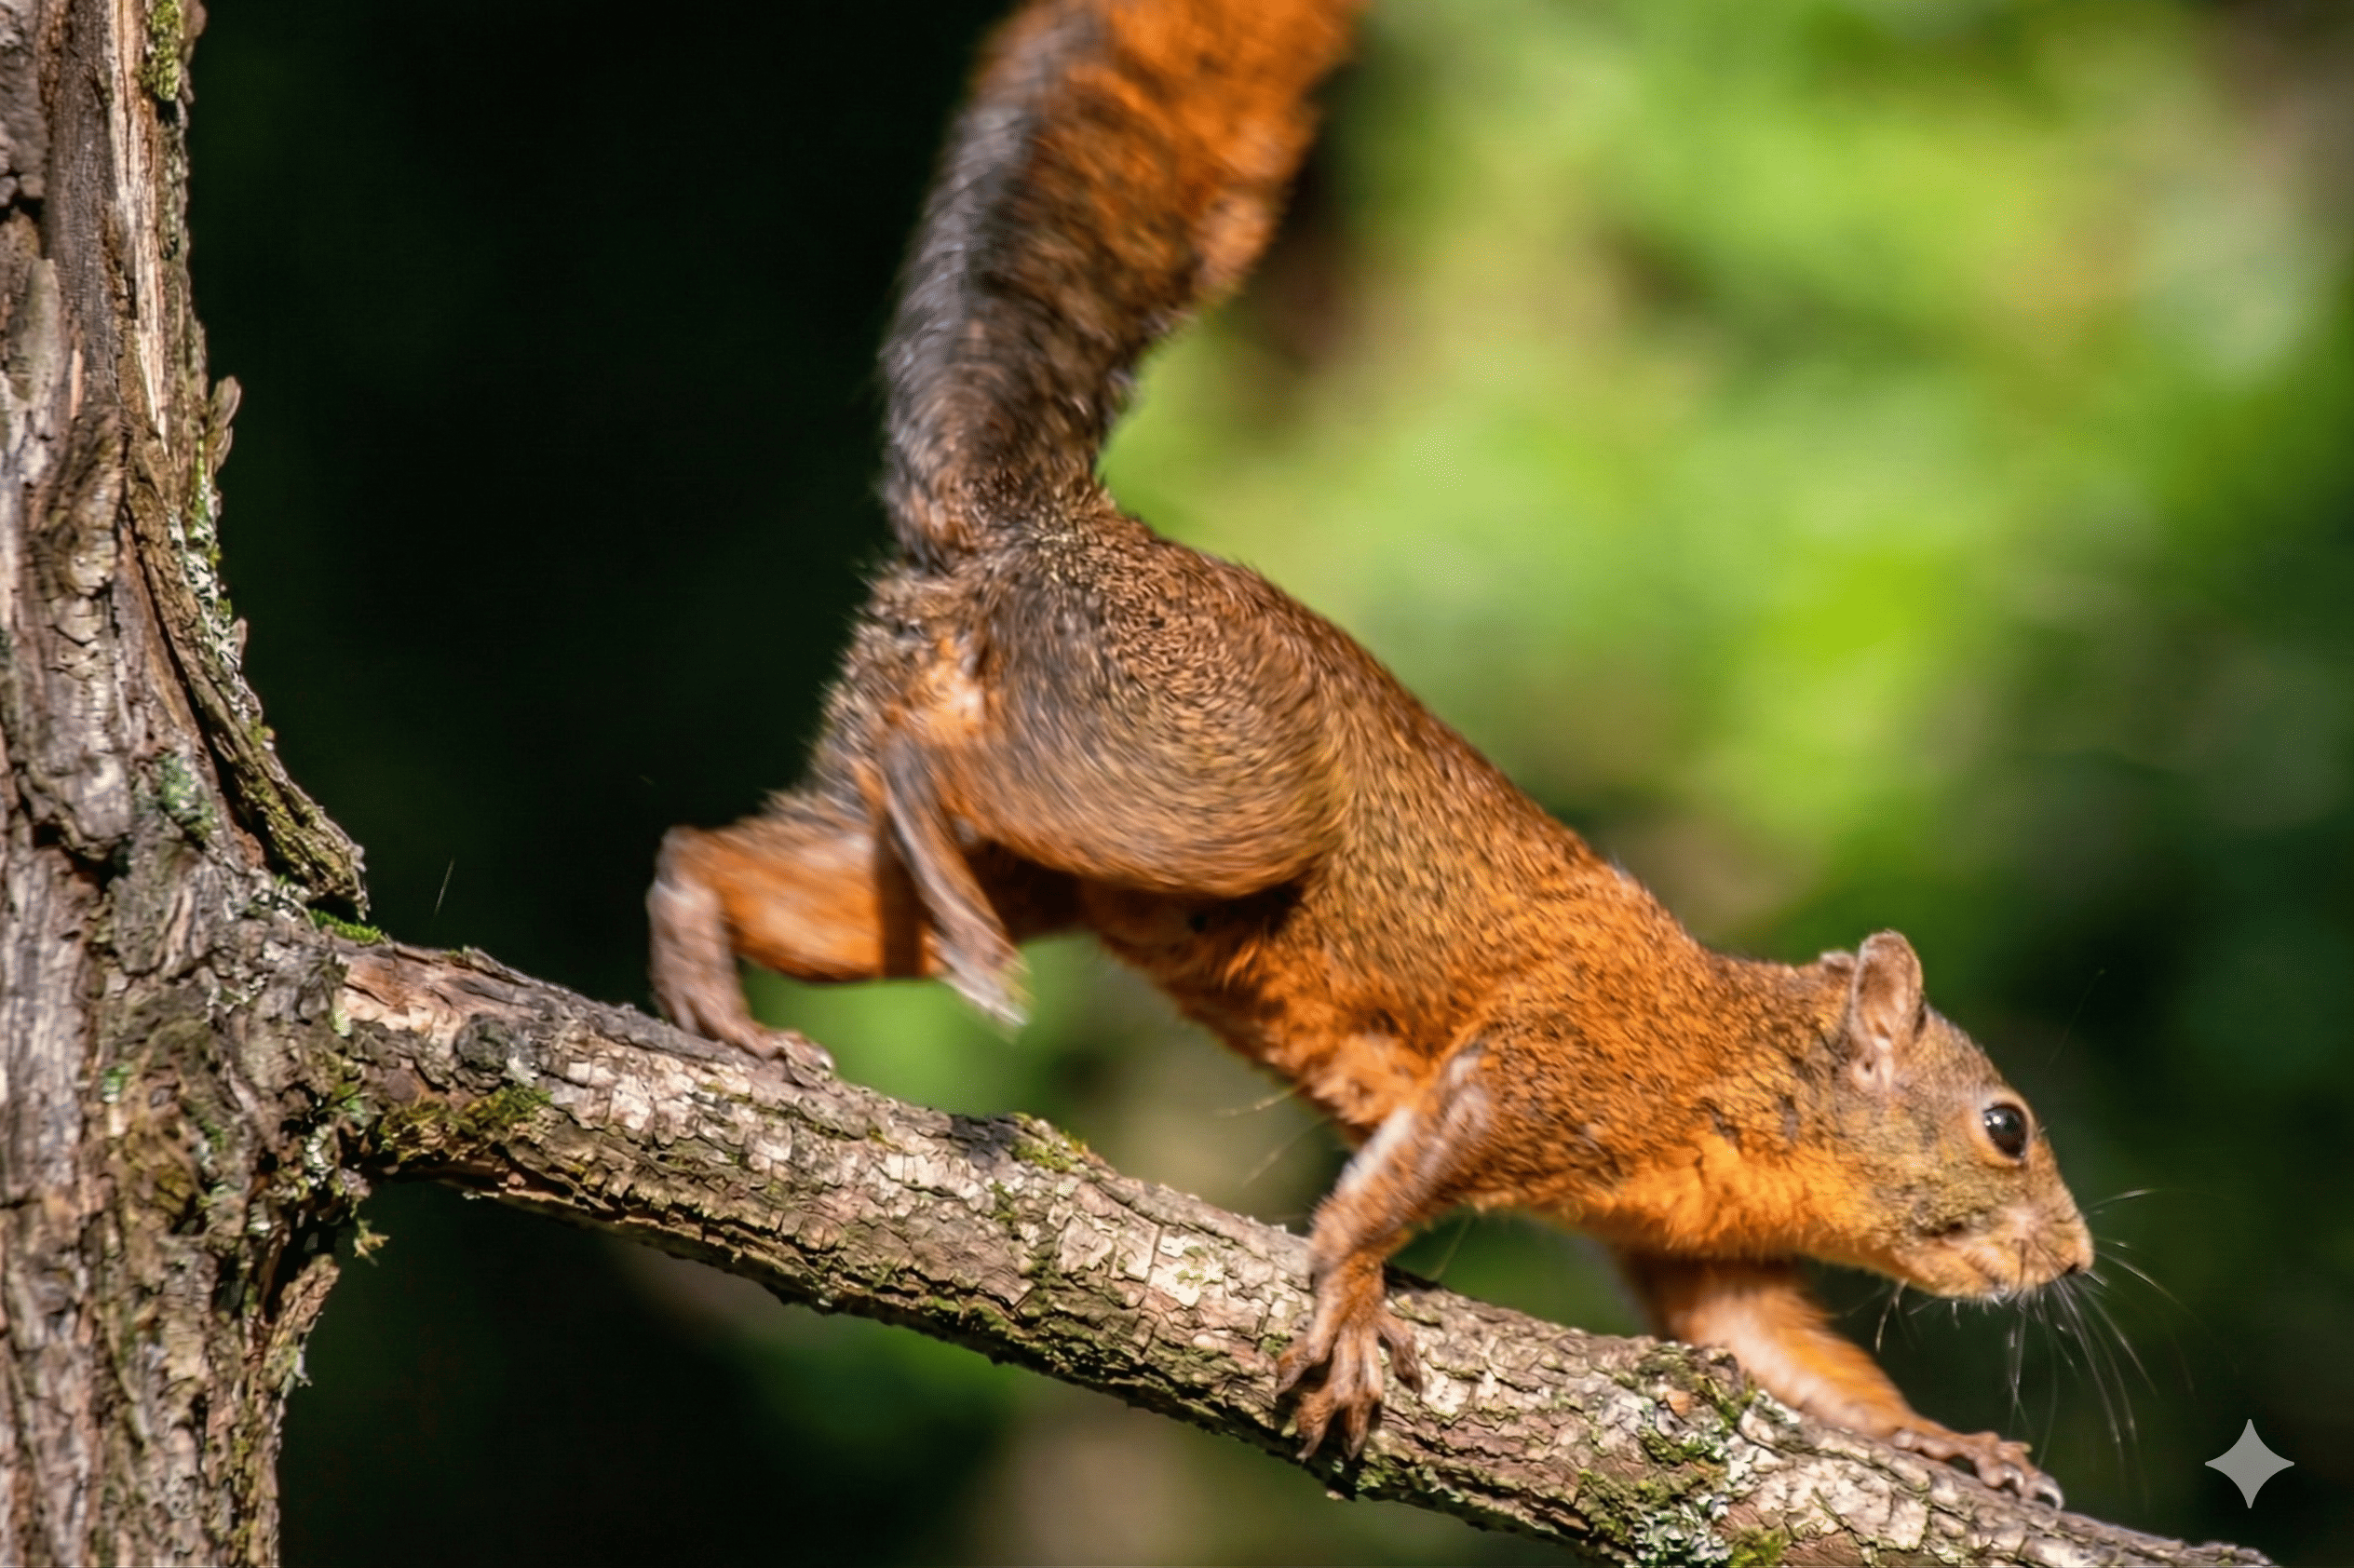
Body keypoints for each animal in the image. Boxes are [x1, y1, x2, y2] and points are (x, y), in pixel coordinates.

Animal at [647, 0, 2093, 1507]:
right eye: (2005, 1125)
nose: (2077, 1256)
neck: (1745, 1064)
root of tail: (1034, 537)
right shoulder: (1554, 1065)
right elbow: (1386, 1195)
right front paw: (1346, 1296)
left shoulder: (1696, 1253)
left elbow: (1779, 1355)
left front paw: (1952, 1443)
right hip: (1207, 783)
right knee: (945, 783)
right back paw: (947, 944)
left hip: (994, 827)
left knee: (728, 850)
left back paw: (717, 990)